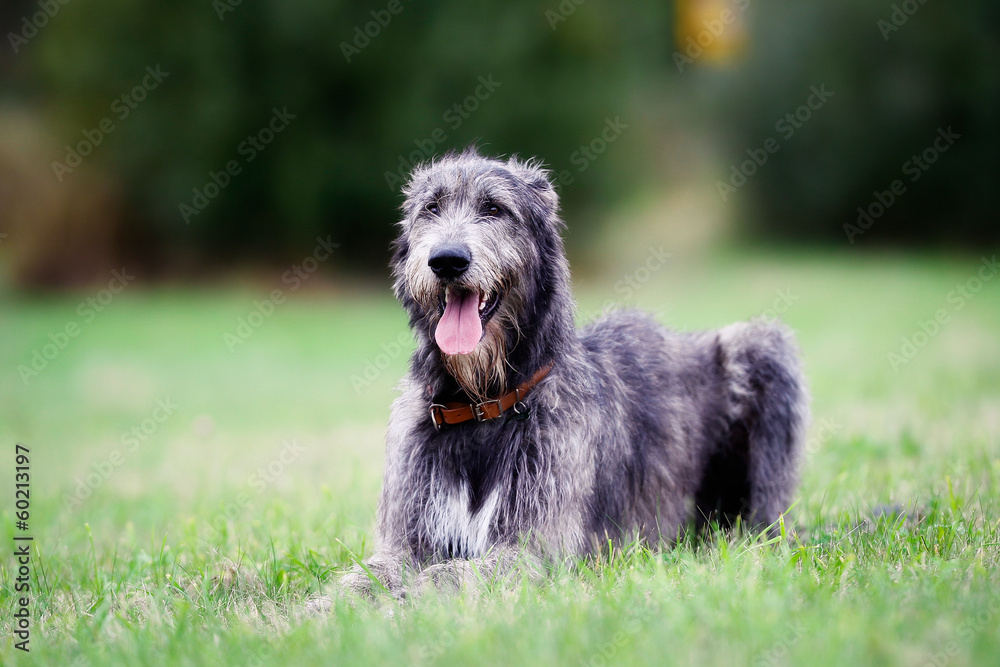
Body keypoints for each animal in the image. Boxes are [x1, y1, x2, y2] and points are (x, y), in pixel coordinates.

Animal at [336, 150, 804, 600]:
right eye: (430, 208)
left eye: (494, 208)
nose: (446, 260)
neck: (483, 402)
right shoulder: (409, 534)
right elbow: (368, 573)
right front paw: (328, 608)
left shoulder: (536, 548)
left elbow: (446, 575)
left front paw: (408, 601)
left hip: (762, 349)